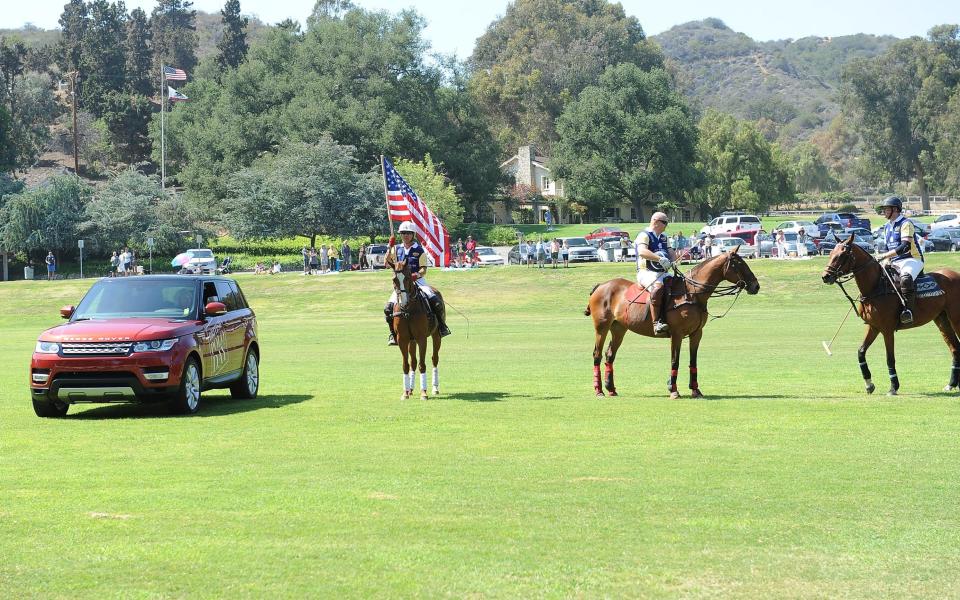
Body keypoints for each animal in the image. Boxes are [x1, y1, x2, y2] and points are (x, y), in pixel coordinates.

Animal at [382, 252, 442, 398]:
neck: (408, 310)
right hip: (411, 340)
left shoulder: (421, 338)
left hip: (436, 335)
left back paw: (435, 388)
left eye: (408, 277)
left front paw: (424, 393)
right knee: (413, 362)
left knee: (434, 358)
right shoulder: (403, 339)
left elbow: (422, 364)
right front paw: (405, 393)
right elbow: (406, 365)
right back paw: (411, 389)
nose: (403, 302)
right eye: (394, 279)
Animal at [584, 247, 756, 398]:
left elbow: (693, 361)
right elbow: (675, 361)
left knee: (610, 355)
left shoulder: (697, 333)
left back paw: (611, 389)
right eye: (739, 264)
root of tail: (600, 286)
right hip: (601, 327)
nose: (756, 286)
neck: (692, 293)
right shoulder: (677, 334)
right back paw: (599, 391)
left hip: (619, 328)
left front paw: (695, 390)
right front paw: (673, 390)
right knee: (597, 354)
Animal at [820, 237, 960, 396]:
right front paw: (869, 384)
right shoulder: (873, 326)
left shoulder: (887, 330)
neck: (874, 286)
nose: (825, 276)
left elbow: (889, 358)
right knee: (955, 348)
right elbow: (861, 352)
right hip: (942, 319)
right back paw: (951, 384)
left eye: (842, 255)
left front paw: (893, 387)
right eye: (831, 253)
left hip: (956, 317)